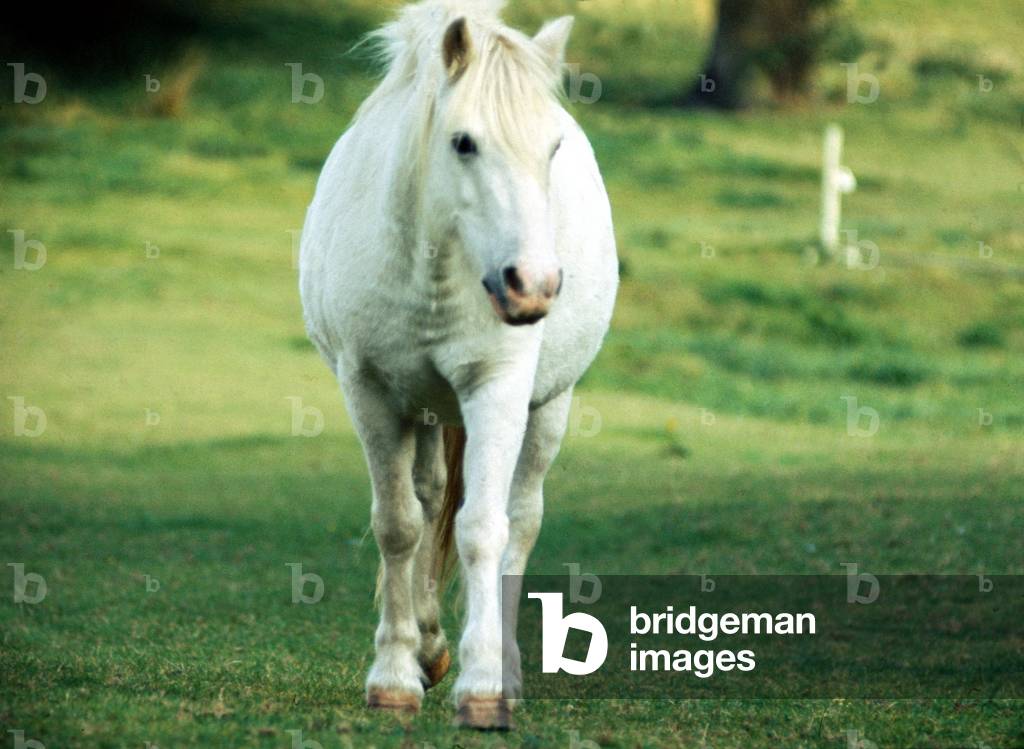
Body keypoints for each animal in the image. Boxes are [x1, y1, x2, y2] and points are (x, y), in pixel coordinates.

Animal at [299, 0, 617, 729]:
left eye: (552, 148)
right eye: (464, 142)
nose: (533, 285)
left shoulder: (495, 388)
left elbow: (482, 528)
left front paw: (483, 688)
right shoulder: (372, 392)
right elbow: (398, 525)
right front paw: (394, 675)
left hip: (546, 408)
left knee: (519, 521)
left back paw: (503, 667)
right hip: (421, 409)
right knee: (424, 499)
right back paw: (428, 646)